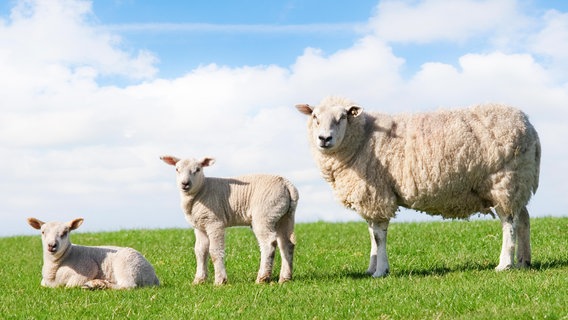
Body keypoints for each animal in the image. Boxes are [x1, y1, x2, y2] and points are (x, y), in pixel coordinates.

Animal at [27, 218, 160, 290]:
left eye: (65, 233)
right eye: (43, 232)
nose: (51, 245)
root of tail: (154, 277)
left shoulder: (86, 268)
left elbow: (69, 286)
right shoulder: (45, 282)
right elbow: (43, 284)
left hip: (127, 265)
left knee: (127, 285)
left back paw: (96, 285)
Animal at [160, 156, 298, 284]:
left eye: (198, 169)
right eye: (177, 169)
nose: (185, 184)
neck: (202, 190)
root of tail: (287, 184)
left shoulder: (214, 222)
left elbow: (215, 251)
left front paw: (220, 281)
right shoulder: (200, 226)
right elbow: (200, 251)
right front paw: (199, 280)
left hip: (264, 214)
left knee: (269, 243)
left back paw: (262, 278)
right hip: (285, 216)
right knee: (287, 244)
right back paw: (285, 278)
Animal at [298, 95, 540, 278]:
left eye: (342, 117)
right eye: (315, 117)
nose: (324, 138)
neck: (363, 138)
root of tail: (529, 125)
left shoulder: (378, 195)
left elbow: (379, 236)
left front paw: (381, 271)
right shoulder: (370, 198)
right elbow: (371, 234)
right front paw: (371, 268)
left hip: (505, 181)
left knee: (509, 223)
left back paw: (505, 264)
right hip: (518, 183)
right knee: (523, 219)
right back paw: (523, 261)